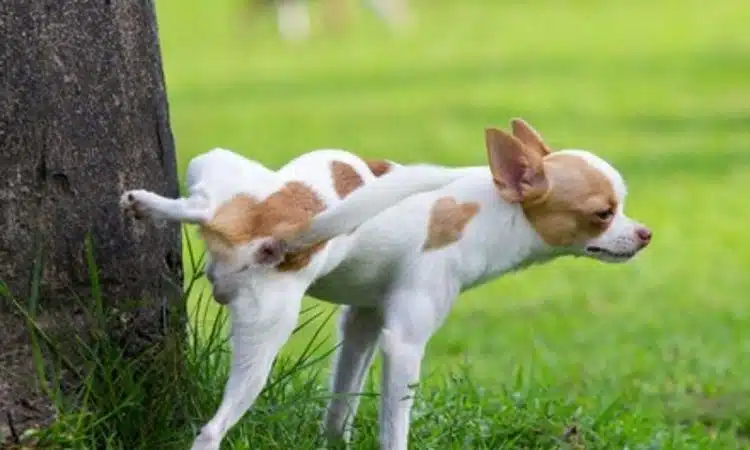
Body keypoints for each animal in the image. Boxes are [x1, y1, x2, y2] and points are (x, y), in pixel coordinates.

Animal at [122, 119, 652, 450]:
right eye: (603, 214)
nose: (645, 233)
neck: (492, 208)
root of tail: (276, 226)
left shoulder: (363, 322)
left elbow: (341, 402)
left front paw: (333, 443)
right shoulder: (403, 343)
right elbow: (393, 426)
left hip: (218, 172)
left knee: (203, 204)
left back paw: (148, 203)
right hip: (266, 337)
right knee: (211, 432)